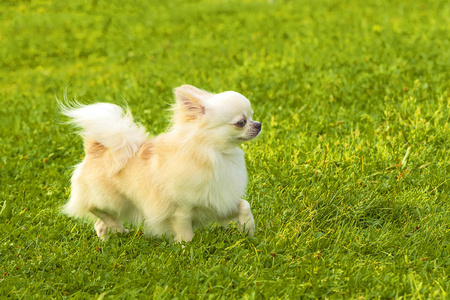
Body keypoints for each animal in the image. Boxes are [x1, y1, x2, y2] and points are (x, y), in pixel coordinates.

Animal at [61, 84, 262, 241]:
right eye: (241, 122)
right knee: (94, 208)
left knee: (99, 224)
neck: (216, 154)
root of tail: (96, 148)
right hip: (110, 199)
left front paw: (247, 228)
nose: (258, 124)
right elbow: (186, 234)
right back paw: (117, 228)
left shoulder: (217, 201)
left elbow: (244, 205)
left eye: (252, 116)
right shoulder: (180, 211)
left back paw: (109, 238)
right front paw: (187, 251)